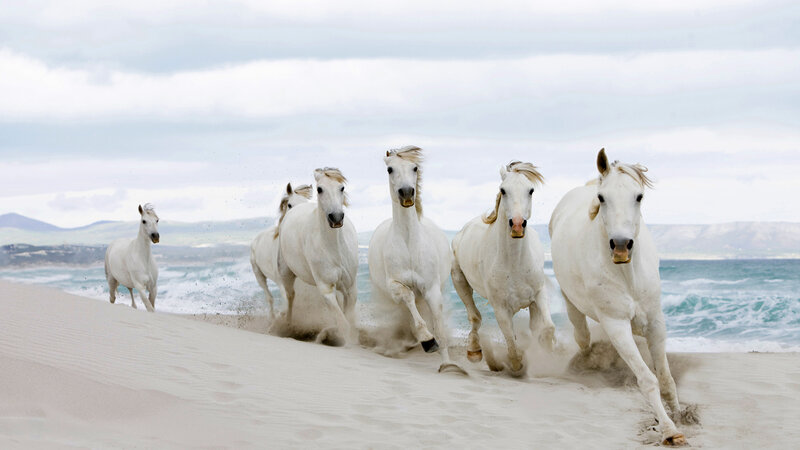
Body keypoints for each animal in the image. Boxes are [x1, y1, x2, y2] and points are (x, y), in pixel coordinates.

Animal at [250, 182, 313, 319]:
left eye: (305, 203)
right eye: (289, 205)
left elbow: (292, 297)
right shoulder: (281, 280)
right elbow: (288, 297)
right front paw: (283, 315)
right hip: (259, 276)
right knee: (269, 297)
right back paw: (273, 319)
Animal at [277, 168, 359, 343]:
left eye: (341, 188)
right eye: (320, 189)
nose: (336, 218)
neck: (335, 249)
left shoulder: (350, 289)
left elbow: (348, 321)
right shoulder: (326, 289)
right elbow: (344, 324)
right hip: (286, 274)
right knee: (290, 297)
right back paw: (287, 326)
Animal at [368, 146, 461, 373]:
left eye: (415, 167)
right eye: (390, 169)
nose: (407, 192)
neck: (410, 244)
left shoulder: (432, 289)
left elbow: (438, 325)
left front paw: (448, 365)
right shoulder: (395, 286)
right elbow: (408, 298)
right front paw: (427, 340)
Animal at [451, 161, 555, 375]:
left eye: (531, 190)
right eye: (503, 190)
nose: (517, 225)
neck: (514, 264)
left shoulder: (538, 295)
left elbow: (547, 328)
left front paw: (546, 351)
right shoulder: (500, 308)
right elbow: (512, 345)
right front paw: (515, 365)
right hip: (459, 280)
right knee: (474, 316)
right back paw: (475, 351)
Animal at [549, 149, 686, 446]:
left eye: (639, 196)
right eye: (602, 198)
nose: (621, 245)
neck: (627, 275)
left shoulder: (656, 323)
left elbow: (666, 378)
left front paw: (681, 416)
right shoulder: (616, 325)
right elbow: (648, 380)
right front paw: (669, 430)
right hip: (573, 306)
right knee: (582, 337)